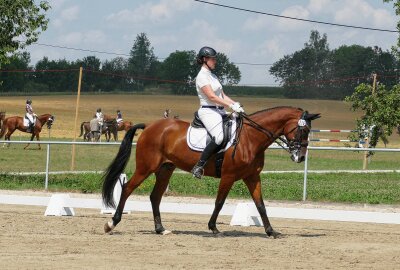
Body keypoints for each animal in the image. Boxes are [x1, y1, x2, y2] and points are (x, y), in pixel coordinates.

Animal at [101, 106, 320, 237]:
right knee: (127, 188)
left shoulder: (252, 177)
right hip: (146, 167)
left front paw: (271, 231)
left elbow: (261, 205)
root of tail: (150, 127)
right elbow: (219, 202)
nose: (300, 157)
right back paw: (112, 223)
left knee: (155, 197)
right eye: (303, 130)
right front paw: (214, 228)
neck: (250, 137)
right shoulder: (229, 176)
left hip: (165, 169)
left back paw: (161, 229)